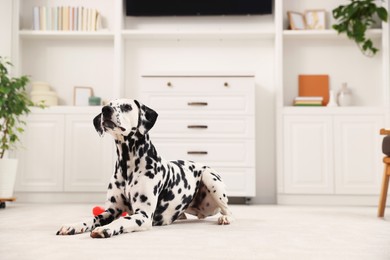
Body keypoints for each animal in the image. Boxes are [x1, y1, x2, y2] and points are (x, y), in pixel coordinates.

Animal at [56, 99, 233, 238]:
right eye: (109, 104)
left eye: (127, 106)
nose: (105, 109)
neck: (127, 166)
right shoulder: (111, 210)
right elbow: (93, 218)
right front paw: (74, 225)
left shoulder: (143, 215)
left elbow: (122, 220)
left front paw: (105, 229)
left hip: (211, 180)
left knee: (228, 210)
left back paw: (225, 218)